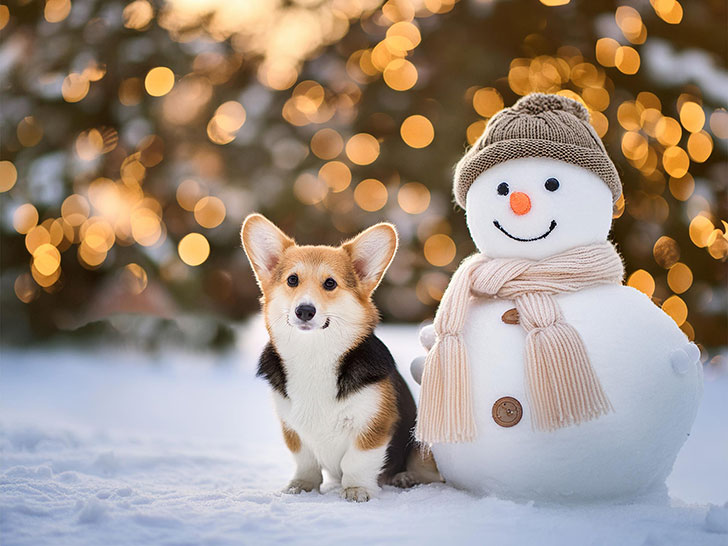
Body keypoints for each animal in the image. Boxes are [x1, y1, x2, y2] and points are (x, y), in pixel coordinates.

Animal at [242, 214, 440, 502]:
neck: (314, 353)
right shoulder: (292, 429)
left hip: (420, 442)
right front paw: (301, 486)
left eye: (330, 283)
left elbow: (356, 461)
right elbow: (305, 462)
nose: (305, 310)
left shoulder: (372, 425)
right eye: (292, 280)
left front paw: (356, 489)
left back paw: (406, 477)